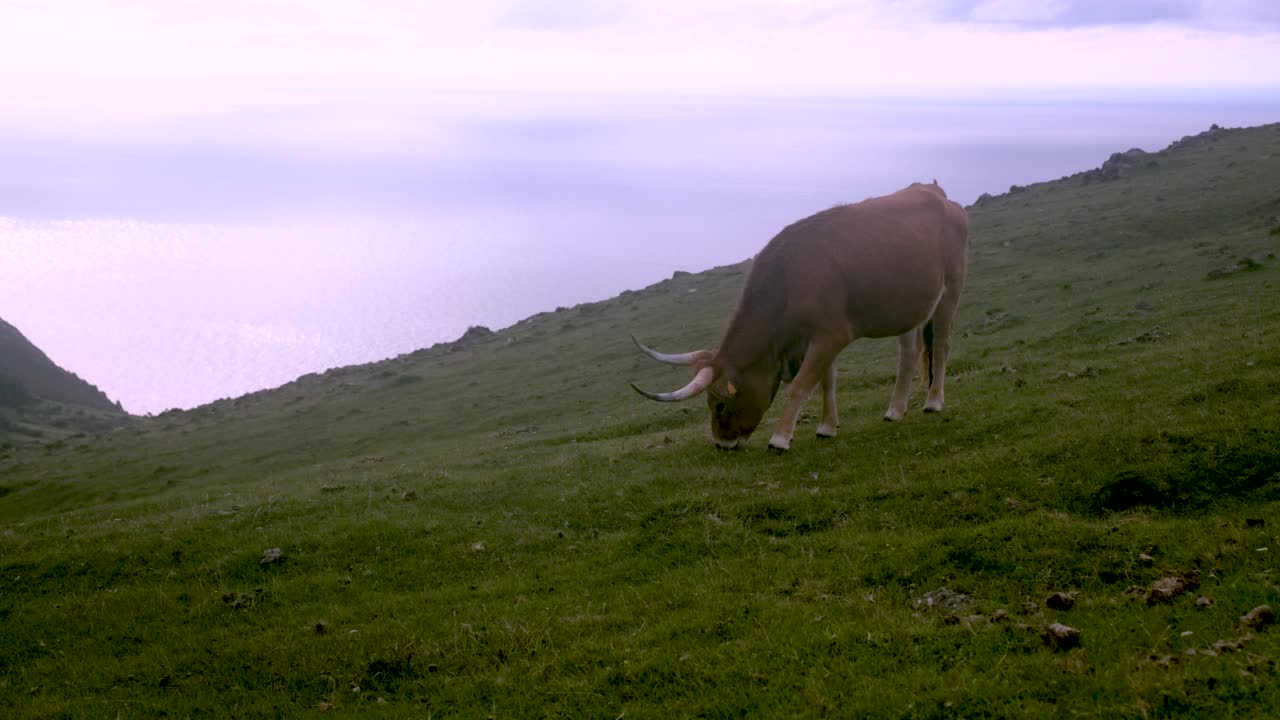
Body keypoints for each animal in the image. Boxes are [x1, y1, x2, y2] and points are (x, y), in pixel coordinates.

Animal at [629, 179, 967, 448]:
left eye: (719, 404)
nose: (721, 444)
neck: (790, 276)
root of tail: (938, 193)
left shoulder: (831, 336)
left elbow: (802, 384)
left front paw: (780, 438)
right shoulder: (815, 340)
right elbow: (826, 382)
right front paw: (827, 427)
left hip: (950, 291)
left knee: (941, 345)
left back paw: (934, 402)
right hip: (909, 308)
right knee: (909, 354)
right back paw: (895, 410)